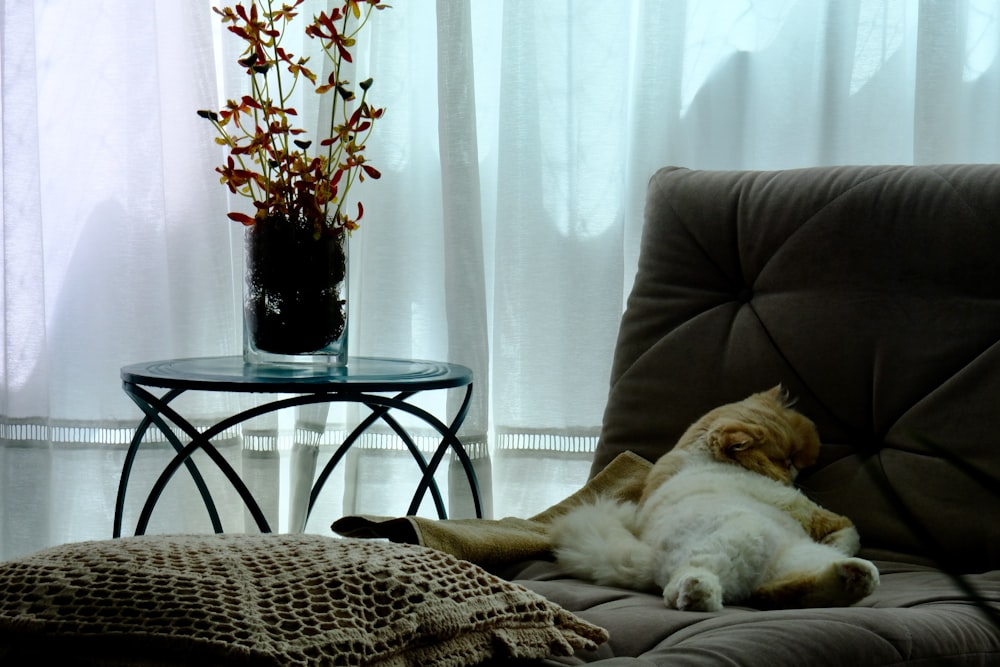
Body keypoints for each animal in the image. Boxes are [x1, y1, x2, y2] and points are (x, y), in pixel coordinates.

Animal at [552, 386, 880, 612]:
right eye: (783, 460)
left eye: (792, 457)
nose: (792, 469)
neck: (702, 454)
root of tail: (649, 560)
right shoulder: (805, 509)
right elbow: (849, 530)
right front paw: (839, 541)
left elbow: (846, 538)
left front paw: (838, 548)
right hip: (738, 537)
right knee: (683, 585)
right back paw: (699, 592)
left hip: (793, 560)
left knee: (780, 592)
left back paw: (852, 578)